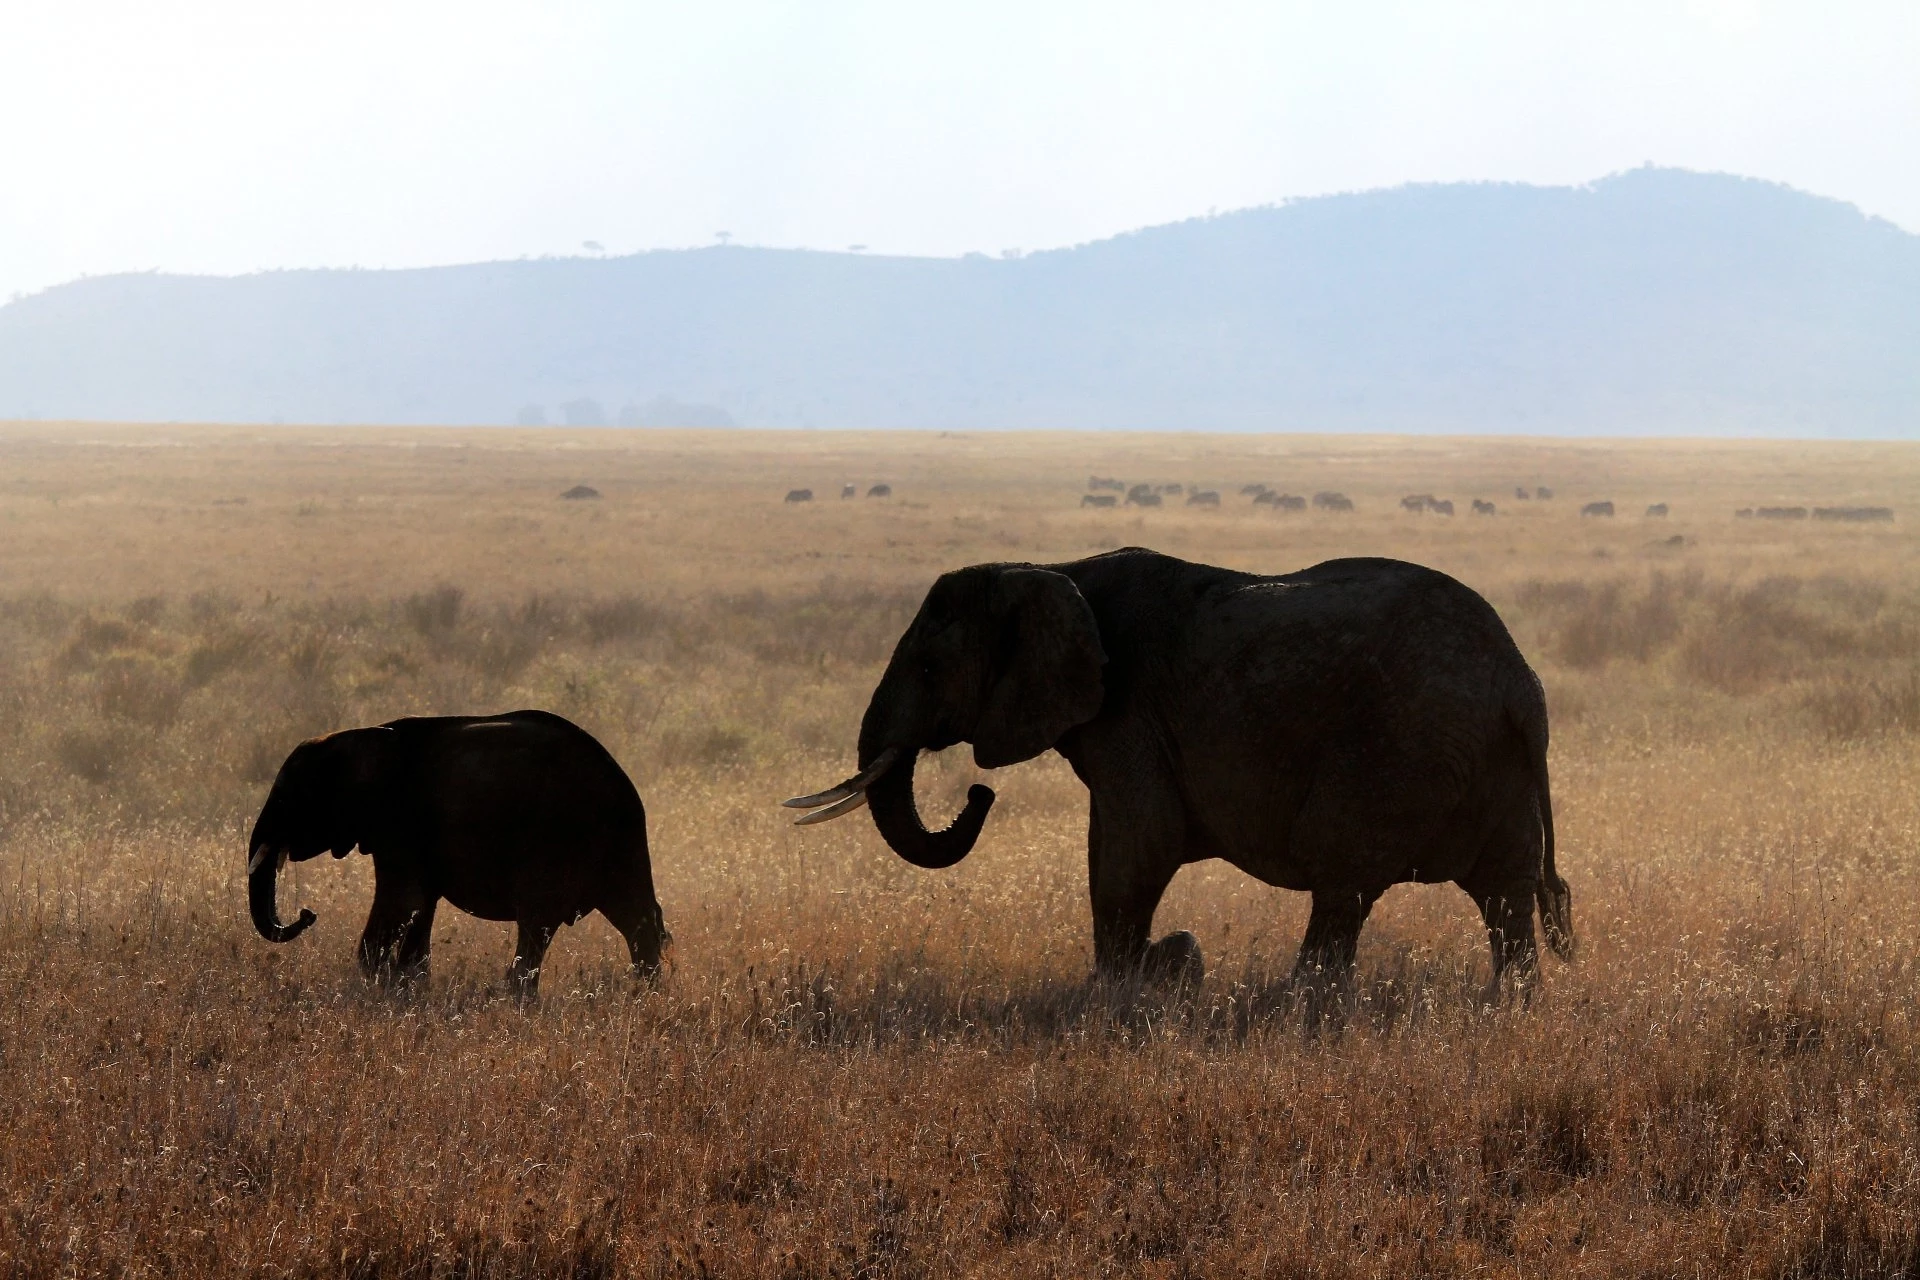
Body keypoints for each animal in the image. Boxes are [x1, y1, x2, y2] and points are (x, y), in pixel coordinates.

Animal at [247, 710, 672, 997]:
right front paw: (407, 989)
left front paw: (384, 989)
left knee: (538, 923)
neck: (362, 734)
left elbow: (402, 902)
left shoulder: (399, 825)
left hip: (562, 840)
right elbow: (419, 908)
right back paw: (645, 994)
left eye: (286, 799)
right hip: (618, 844)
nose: (307, 913)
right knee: (636, 917)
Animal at [783, 548, 1574, 990]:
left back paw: (1298, 1008)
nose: (979, 794)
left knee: (1342, 885)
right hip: (1488, 764)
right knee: (1505, 898)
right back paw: (1509, 1011)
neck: (1051, 569)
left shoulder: (1129, 711)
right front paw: (1153, 973)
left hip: (1399, 751)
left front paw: (1122, 988)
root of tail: (1521, 682)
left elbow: (1134, 848)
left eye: (927, 667)